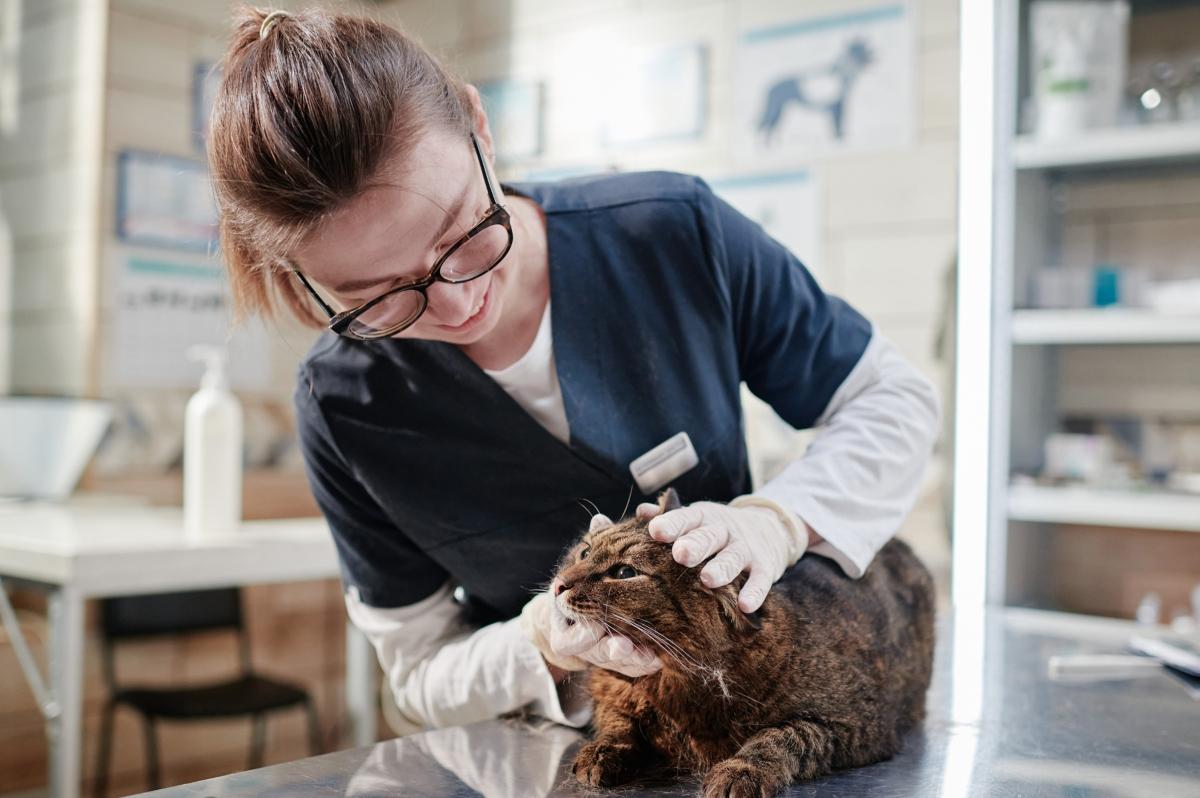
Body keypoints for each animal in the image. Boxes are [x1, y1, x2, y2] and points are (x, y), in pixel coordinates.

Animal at [552, 484, 936, 796]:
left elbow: (780, 737)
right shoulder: (610, 694)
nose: (559, 585)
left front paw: (741, 771)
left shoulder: (855, 724)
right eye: (584, 552)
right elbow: (617, 723)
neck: (670, 681)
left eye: (624, 572)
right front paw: (603, 750)